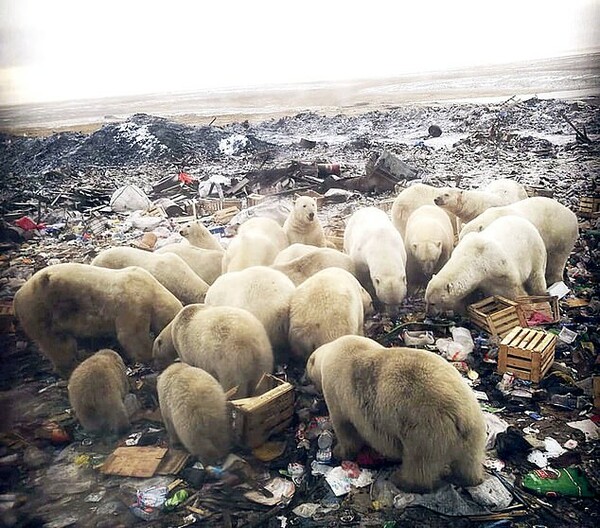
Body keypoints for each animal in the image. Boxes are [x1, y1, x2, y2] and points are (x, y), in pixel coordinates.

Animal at [12, 264, 182, 380]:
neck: (152, 289)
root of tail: (17, 297)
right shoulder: (133, 303)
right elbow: (131, 335)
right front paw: (148, 356)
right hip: (41, 310)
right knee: (58, 343)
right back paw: (71, 367)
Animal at [308, 336, 486, 492]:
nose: (304, 381)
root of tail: (460, 416)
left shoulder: (337, 391)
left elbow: (345, 428)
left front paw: (339, 451)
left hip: (426, 430)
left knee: (419, 463)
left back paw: (402, 480)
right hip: (473, 431)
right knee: (469, 460)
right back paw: (468, 479)